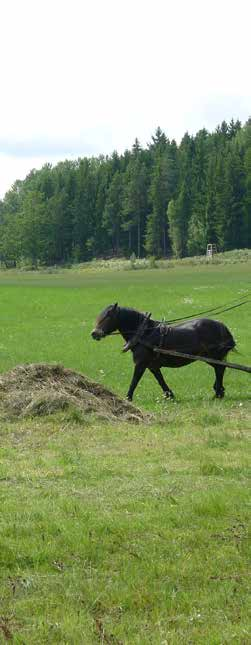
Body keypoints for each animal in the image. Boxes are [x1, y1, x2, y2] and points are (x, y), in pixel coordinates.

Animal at [91, 302, 236, 398]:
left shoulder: (140, 363)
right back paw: (219, 390)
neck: (144, 333)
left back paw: (218, 392)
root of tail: (222, 326)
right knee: (220, 368)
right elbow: (160, 379)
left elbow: (134, 381)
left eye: (108, 316)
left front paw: (128, 398)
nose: (94, 333)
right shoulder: (152, 365)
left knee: (220, 369)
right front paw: (169, 395)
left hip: (212, 356)